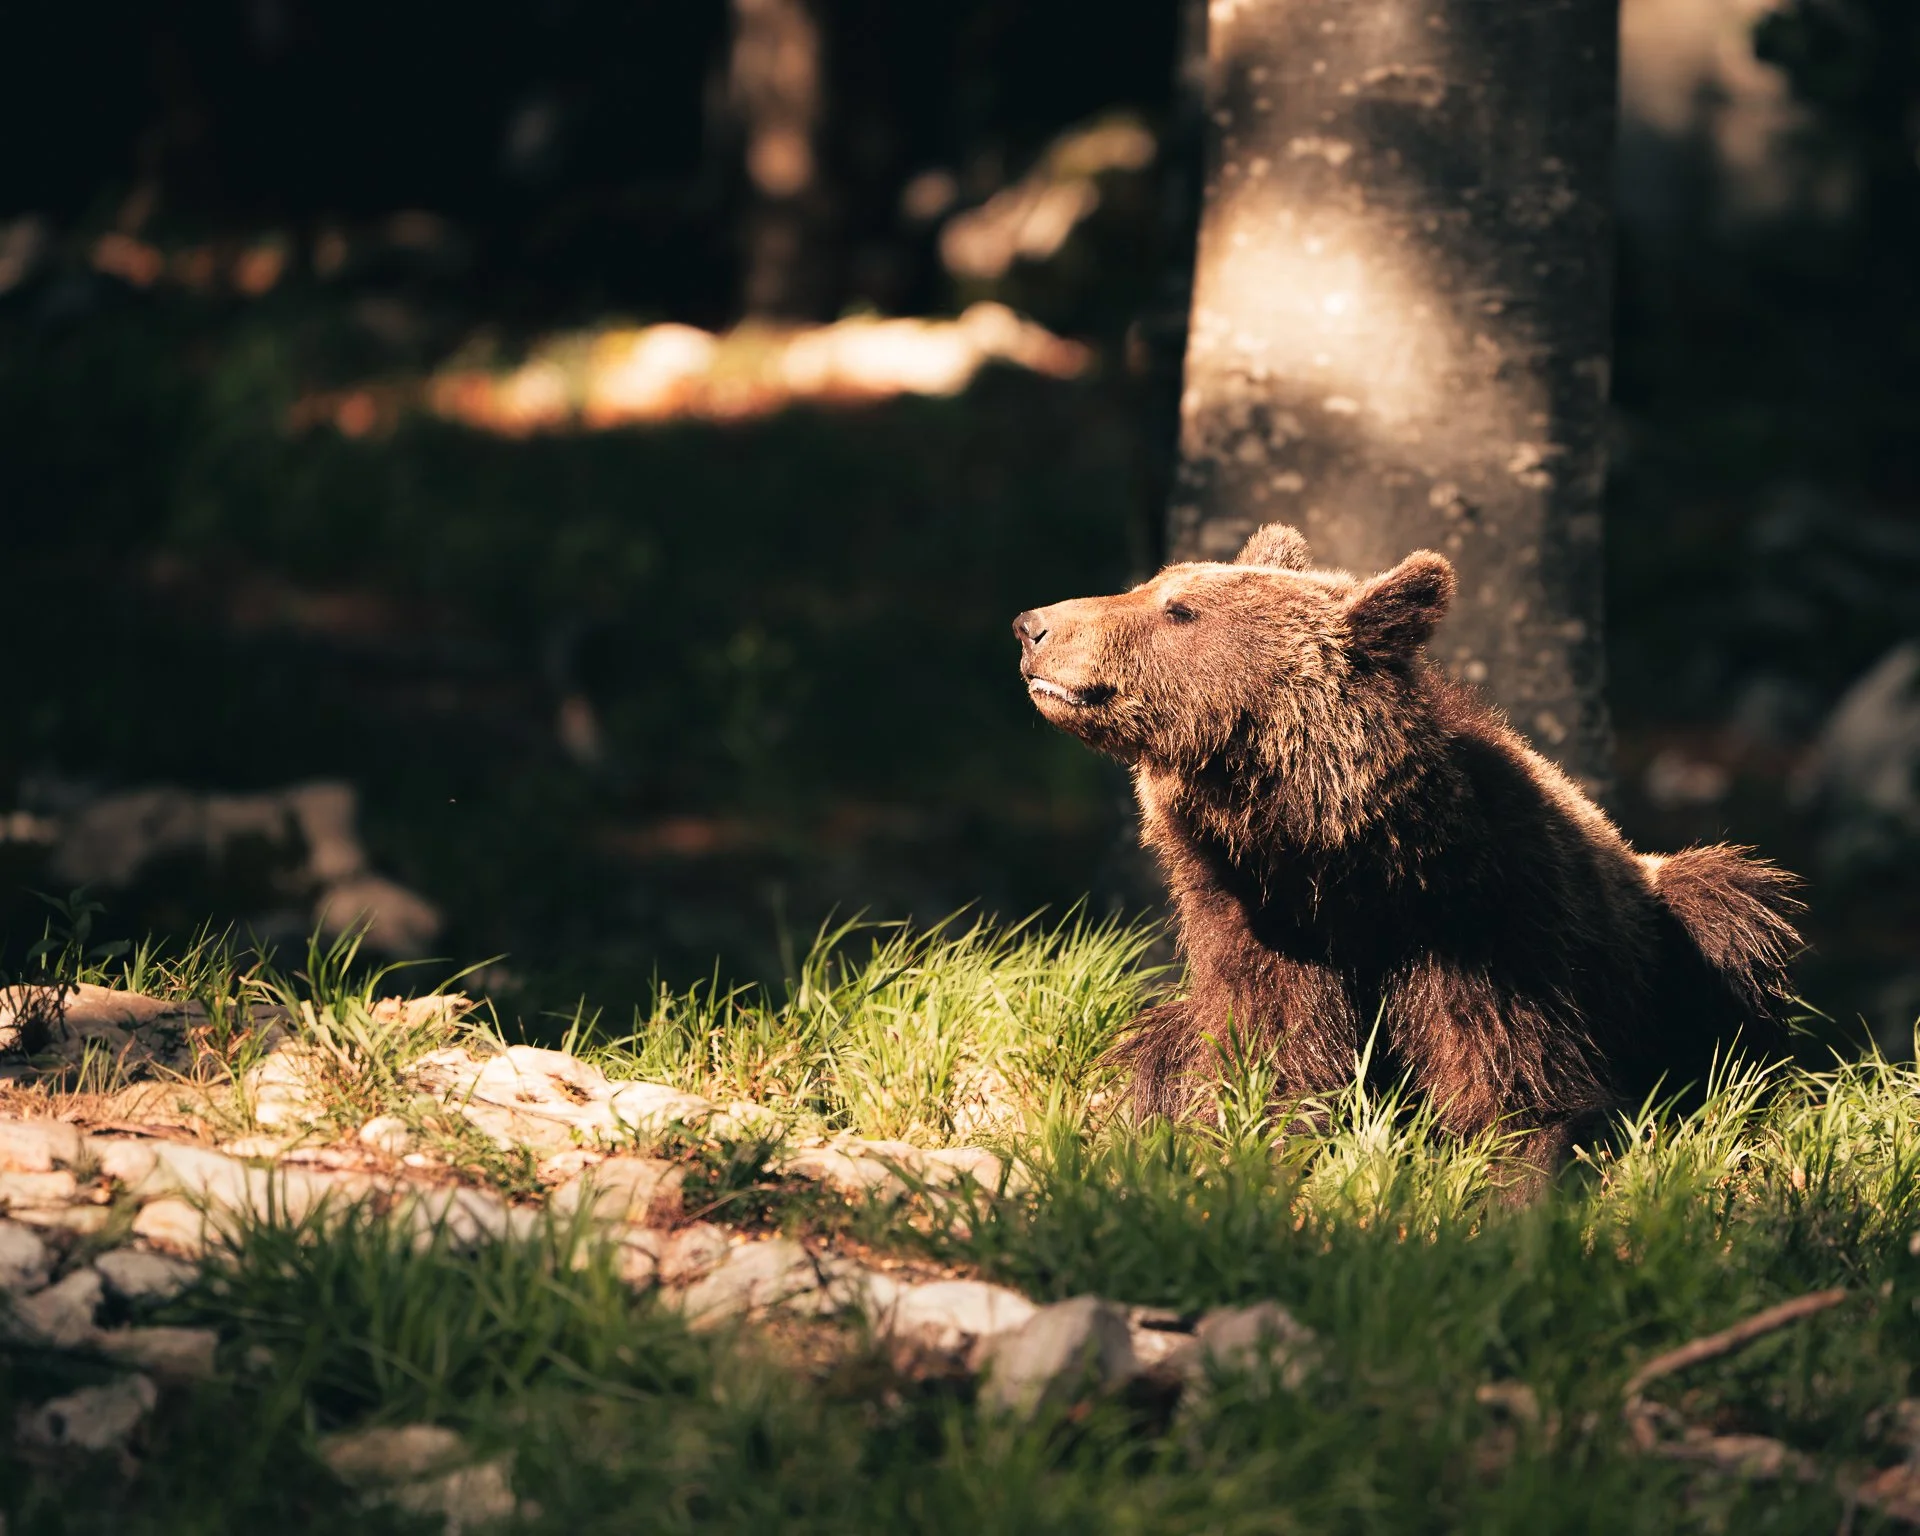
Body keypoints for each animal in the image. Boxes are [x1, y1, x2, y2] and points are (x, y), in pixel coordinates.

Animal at [1013, 522, 1802, 1178]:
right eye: (1154, 584)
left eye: (1178, 609)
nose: (1032, 625)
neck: (1344, 860)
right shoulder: (1256, 921)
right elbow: (1269, 1059)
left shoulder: (1489, 928)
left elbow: (1513, 1085)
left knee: (1729, 912)